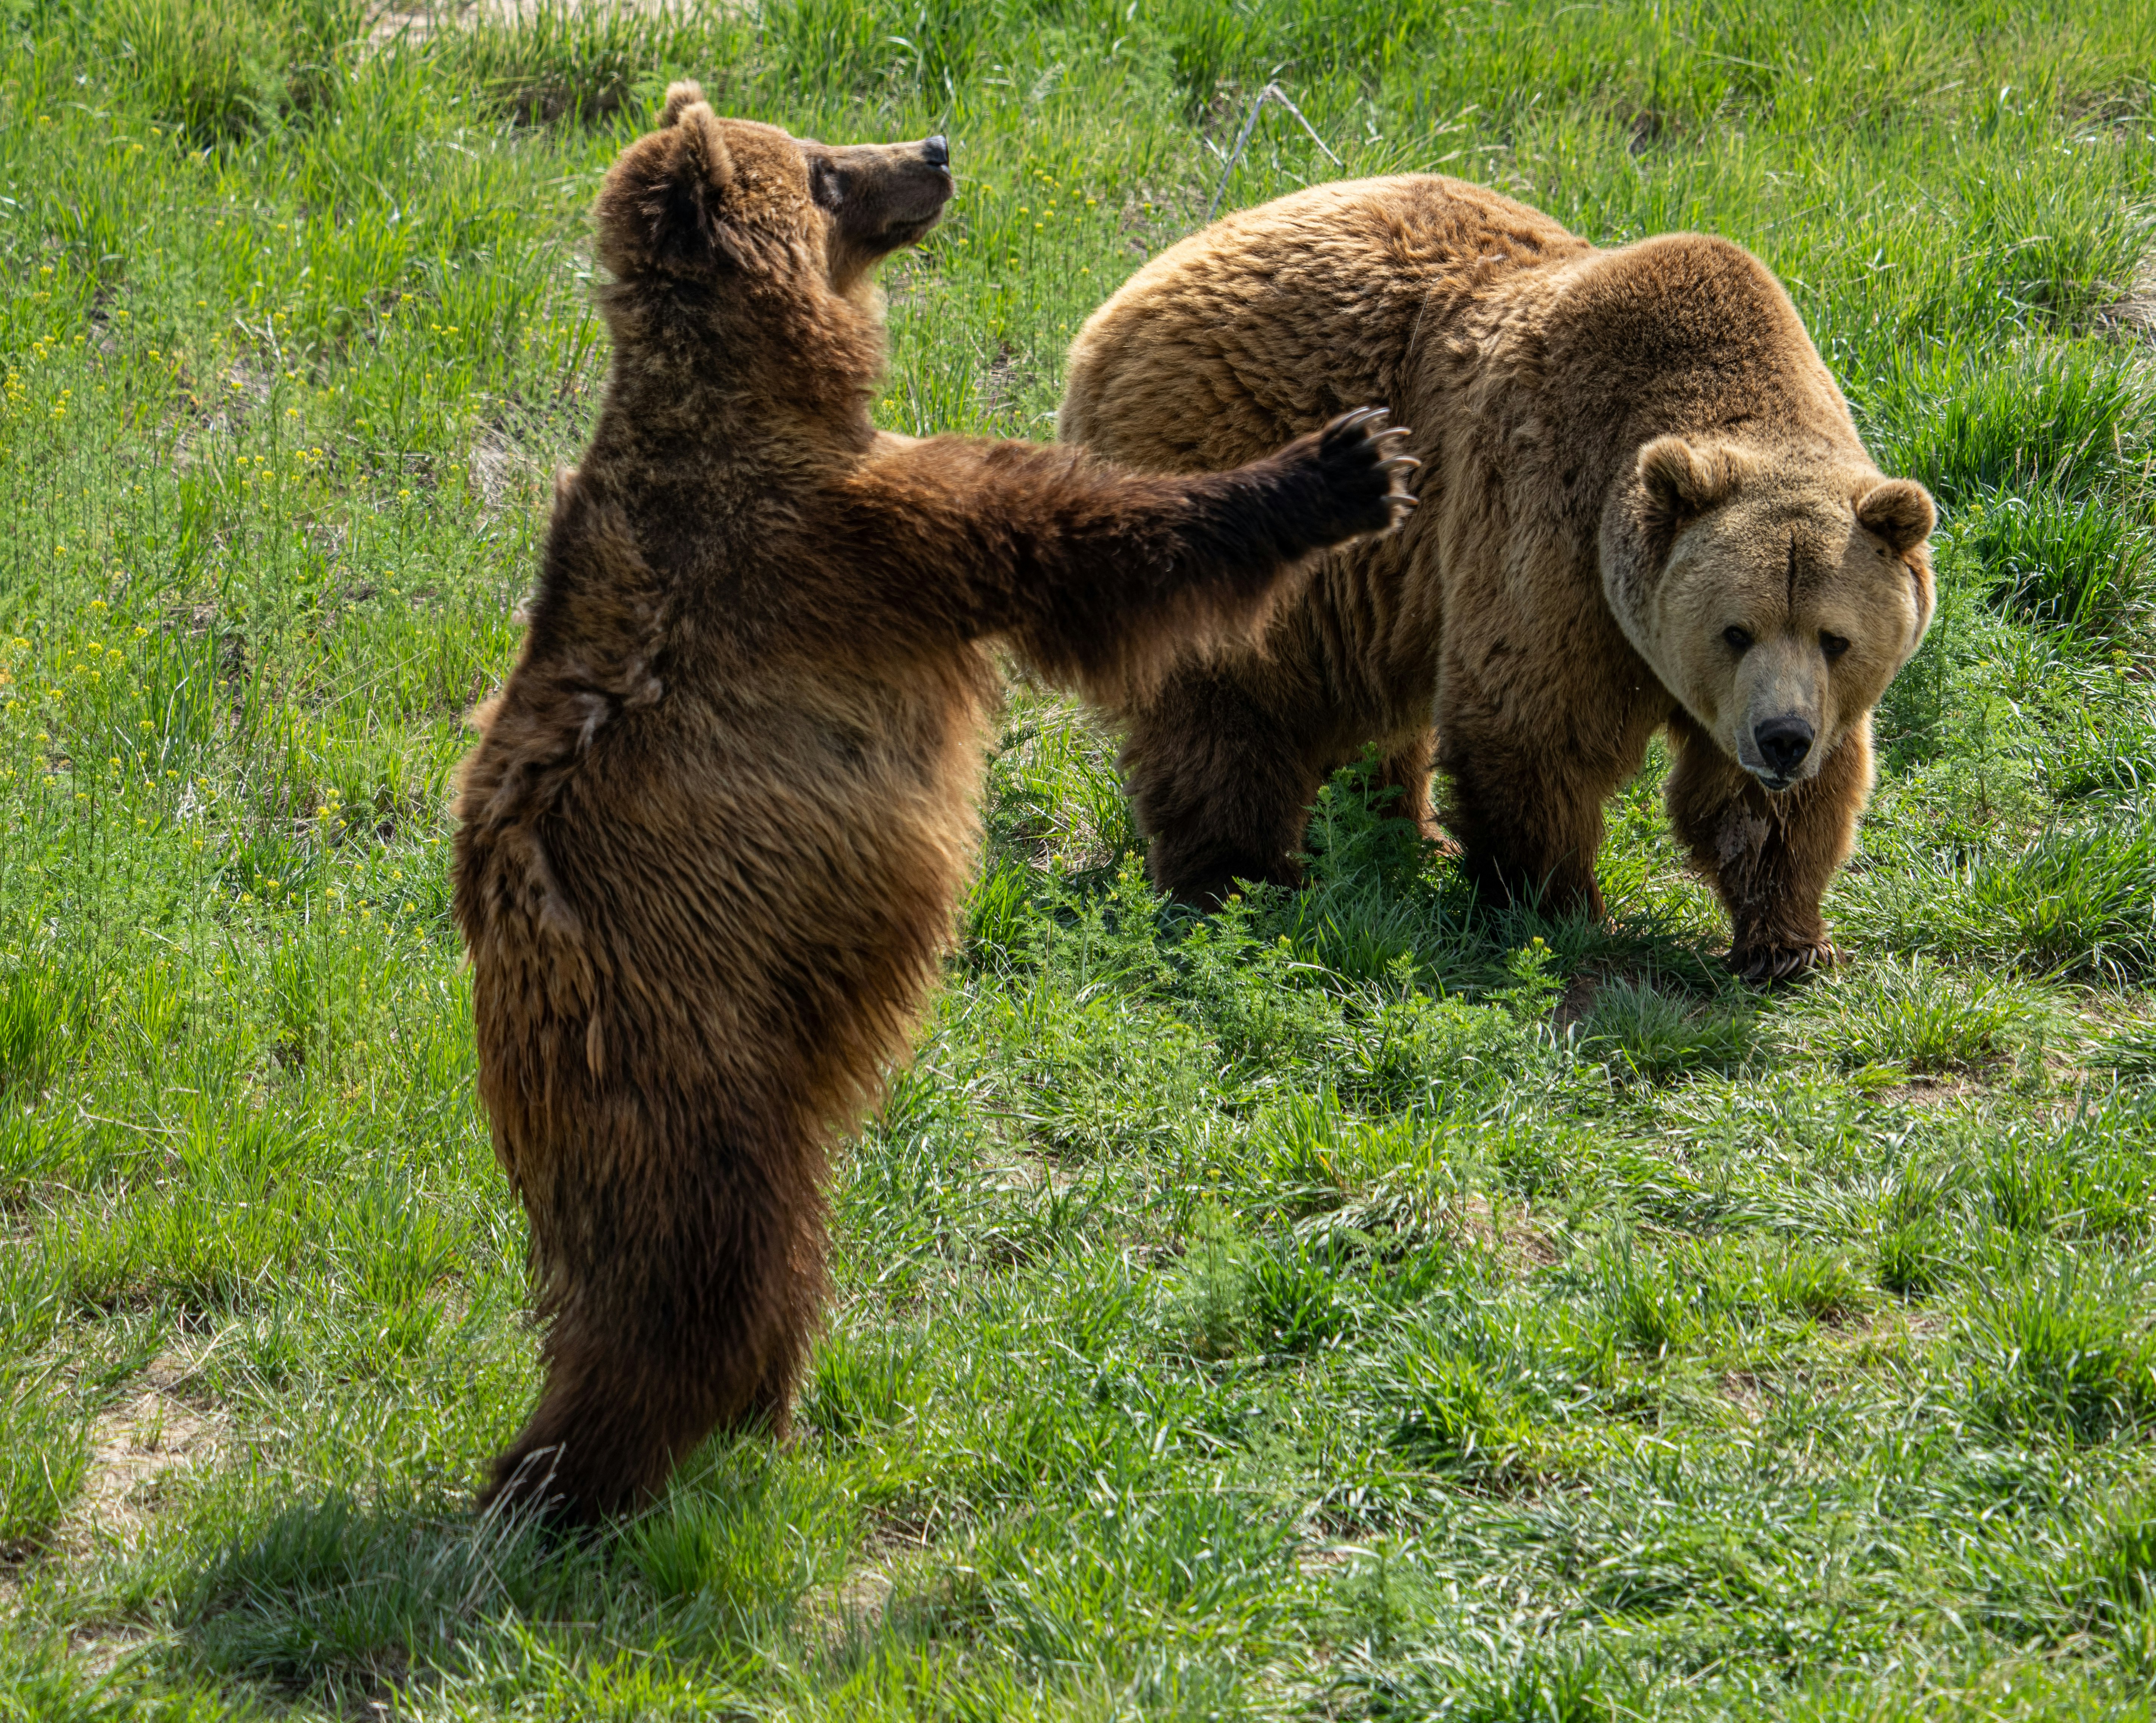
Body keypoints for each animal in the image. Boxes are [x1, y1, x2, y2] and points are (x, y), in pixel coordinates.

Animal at [455, 87, 1414, 1527]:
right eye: (821, 169)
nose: (934, 151)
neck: (768, 396)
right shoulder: (860, 544)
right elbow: (1074, 540)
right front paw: (1341, 463)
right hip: (697, 1049)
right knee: (699, 1259)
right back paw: (591, 1469)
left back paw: (736, 1422)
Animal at [1060, 179, 1940, 983]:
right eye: (1734, 629)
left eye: (1835, 637)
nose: (1782, 737)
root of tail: (1117, 306)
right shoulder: (1553, 528)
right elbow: (1530, 722)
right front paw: (1558, 908)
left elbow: (1765, 806)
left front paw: (1788, 941)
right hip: (1235, 461)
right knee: (1231, 697)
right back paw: (1237, 878)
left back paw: (1400, 831)